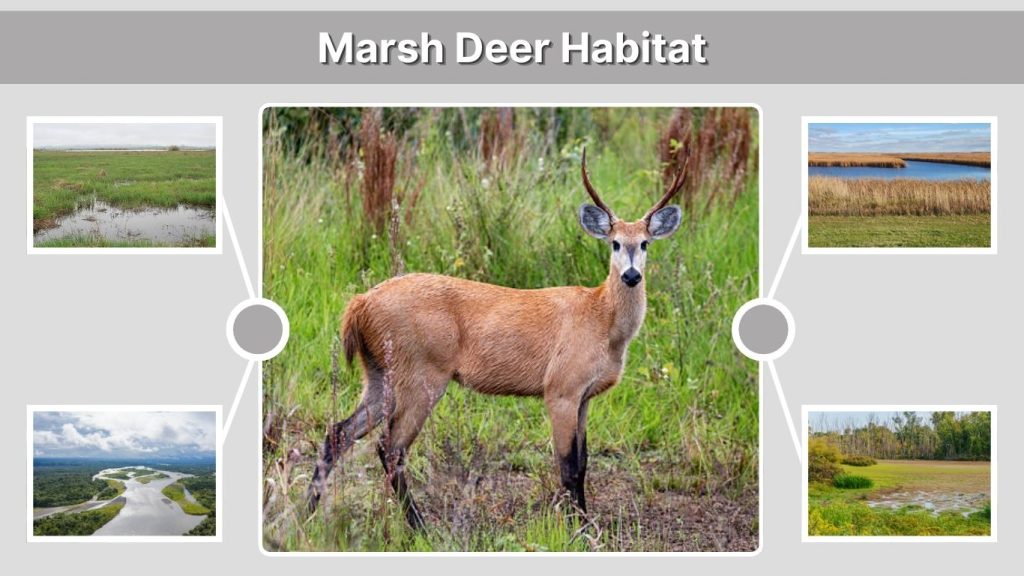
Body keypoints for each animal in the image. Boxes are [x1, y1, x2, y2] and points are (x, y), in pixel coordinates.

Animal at [307, 150, 687, 528]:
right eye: (615, 243)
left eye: (645, 243)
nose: (632, 275)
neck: (602, 319)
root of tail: (359, 305)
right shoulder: (560, 389)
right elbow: (566, 466)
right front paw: (576, 529)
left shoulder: (584, 397)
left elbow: (583, 464)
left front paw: (585, 522)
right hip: (421, 376)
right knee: (390, 448)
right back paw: (421, 527)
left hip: (378, 375)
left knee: (338, 433)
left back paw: (305, 513)